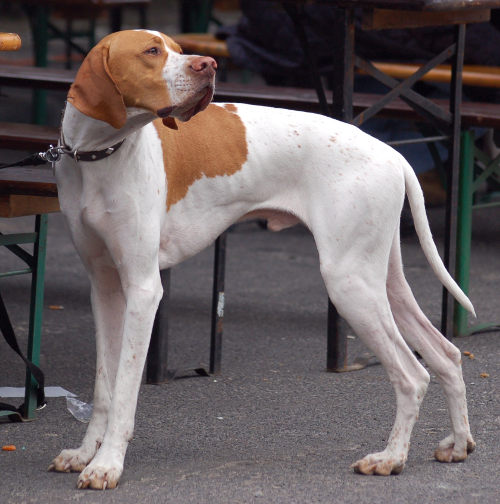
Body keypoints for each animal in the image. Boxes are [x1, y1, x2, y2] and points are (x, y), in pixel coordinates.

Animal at [49, 30, 476, 488]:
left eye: (177, 49)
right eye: (152, 51)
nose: (209, 65)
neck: (98, 156)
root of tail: (394, 154)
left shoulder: (144, 291)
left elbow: (126, 391)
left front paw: (107, 464)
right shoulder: (105, 288)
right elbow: (104, 388)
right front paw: (85, 454)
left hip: (350, 284)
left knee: (412, 375)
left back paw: (391, 458)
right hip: (382, 281)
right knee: (447, 355)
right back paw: (458, 444)